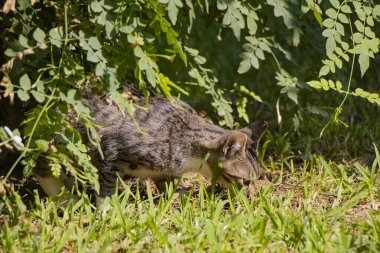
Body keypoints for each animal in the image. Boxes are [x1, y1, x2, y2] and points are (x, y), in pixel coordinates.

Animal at [35, 88, 268, 207]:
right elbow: (107, 187)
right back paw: (66, 199)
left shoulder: (166, 170)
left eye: (257, 179)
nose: (251, 195)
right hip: (60, 143)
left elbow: (168, 184)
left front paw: (179, 194)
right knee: (42, 166)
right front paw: (107, 211)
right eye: (245, 181)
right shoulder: (110, 147)